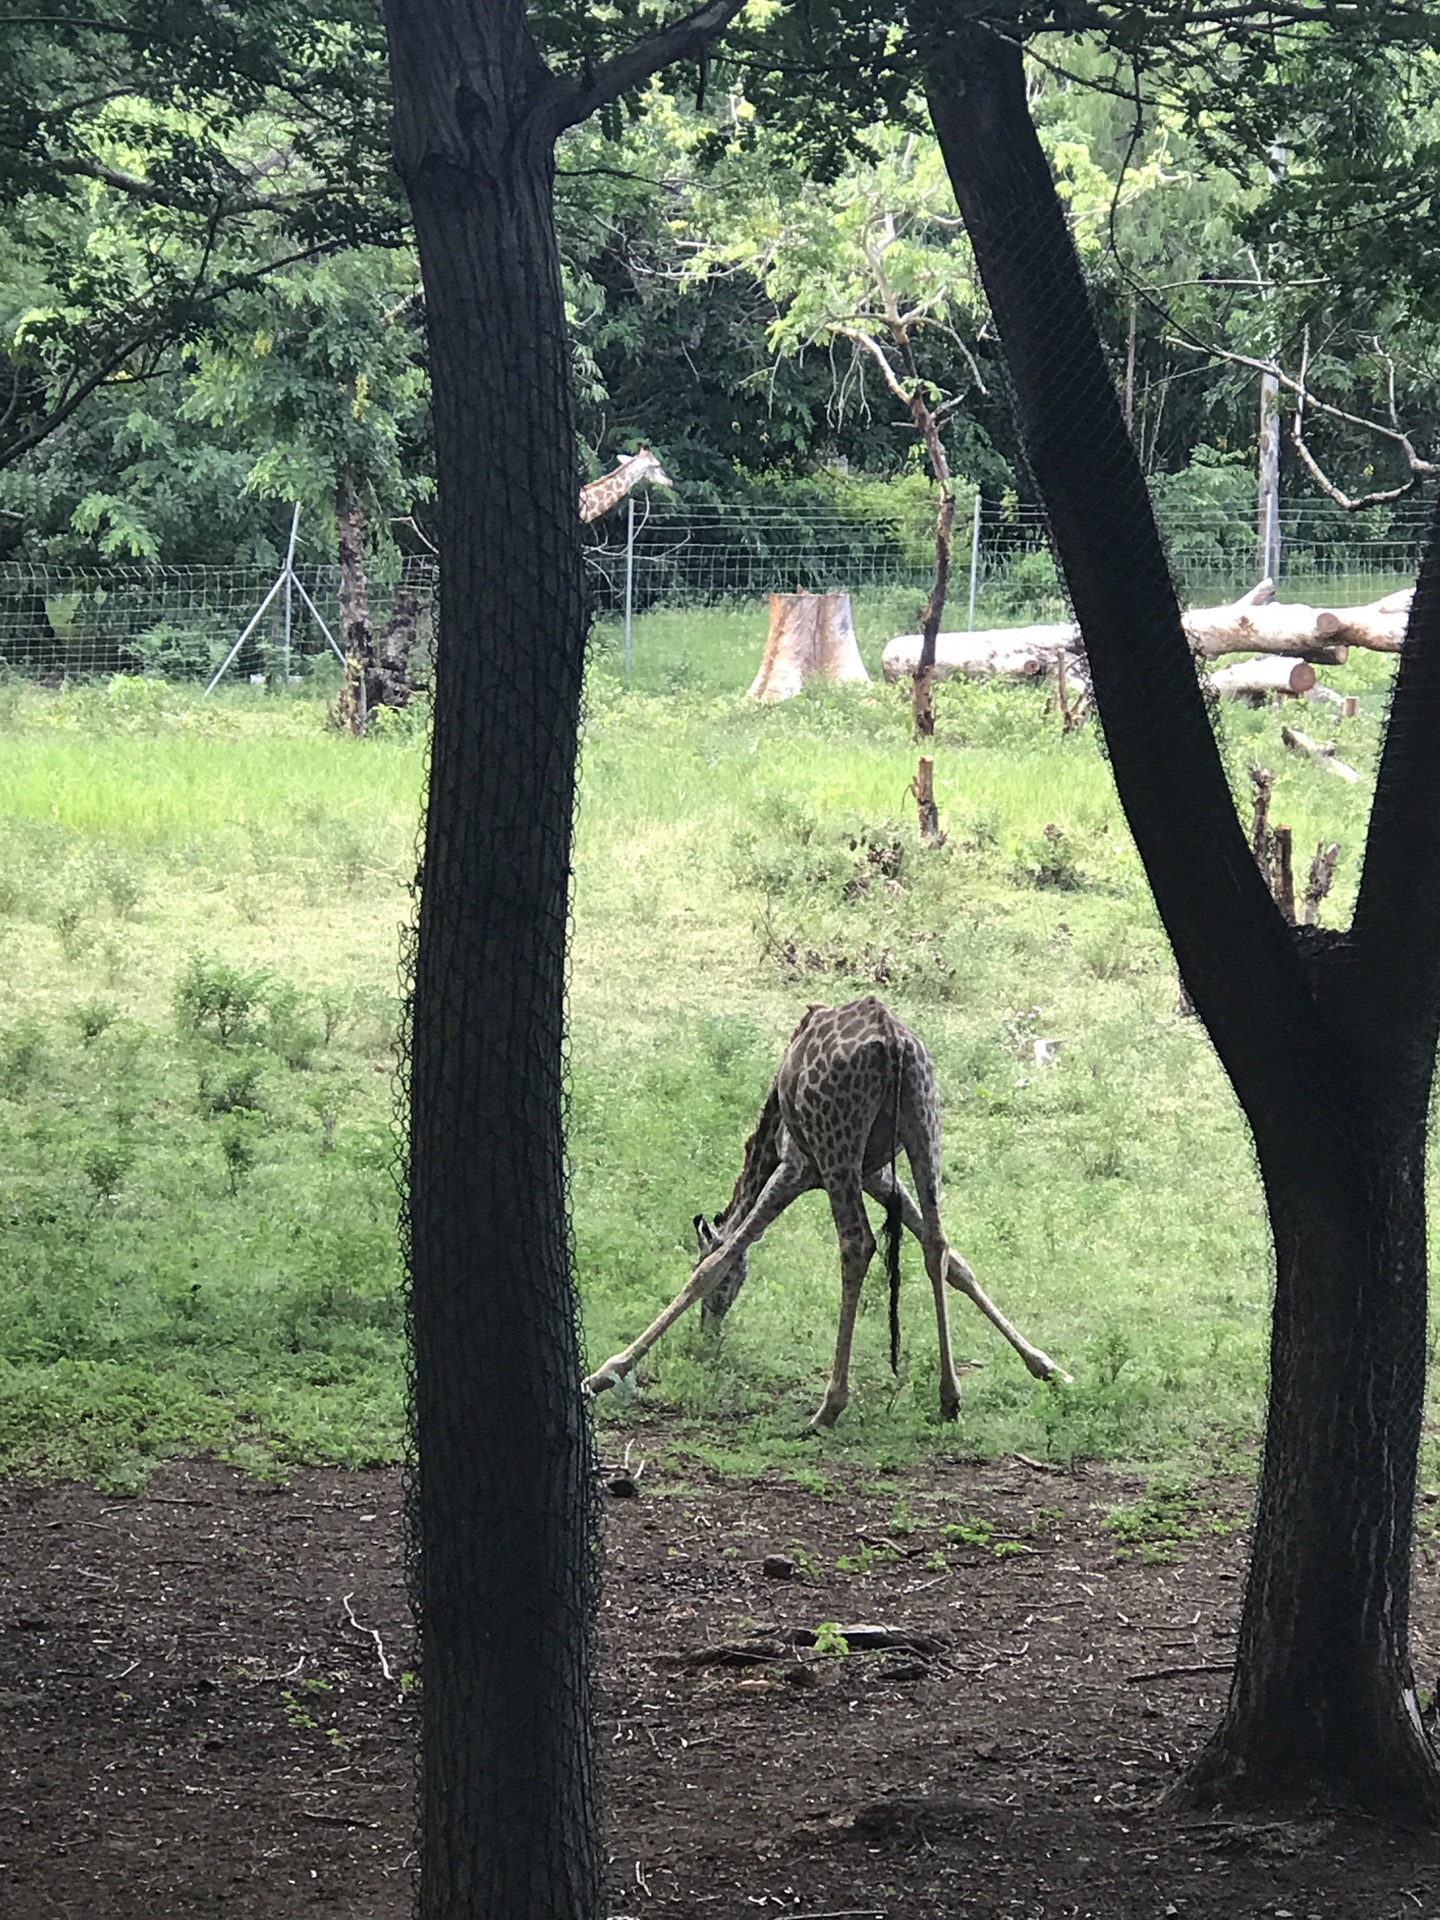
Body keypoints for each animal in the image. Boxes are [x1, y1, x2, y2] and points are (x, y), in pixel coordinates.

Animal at [579, 990, 1067, 1428]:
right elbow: (959, 1267)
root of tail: (892, 1041)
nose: (709, 1333)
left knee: (857, 1244)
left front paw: (605, 1373)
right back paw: (949, 1397)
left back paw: (829, 1406)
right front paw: (1046, 1366)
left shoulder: (795, 1166)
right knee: (937, 1241)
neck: (771, 1121)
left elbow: (719, 1260)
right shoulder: (878, 1175)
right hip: (924, 1123)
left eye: (728, 1287)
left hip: (837, 1148)